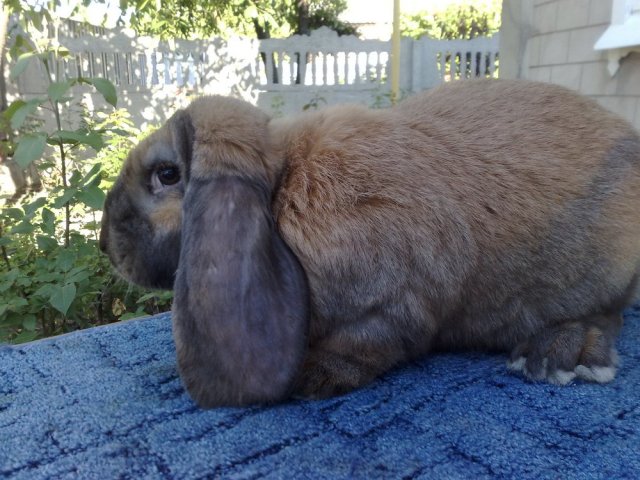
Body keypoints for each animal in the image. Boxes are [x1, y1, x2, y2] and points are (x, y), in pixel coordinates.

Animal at [100, 78, 640, 408]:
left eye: (167, 174)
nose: (104, 243)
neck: (282, 188)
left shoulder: (394, 301)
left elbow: (369, 344)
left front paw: (310, 377)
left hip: (605, 270)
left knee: (609, 313)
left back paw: (558, 356)